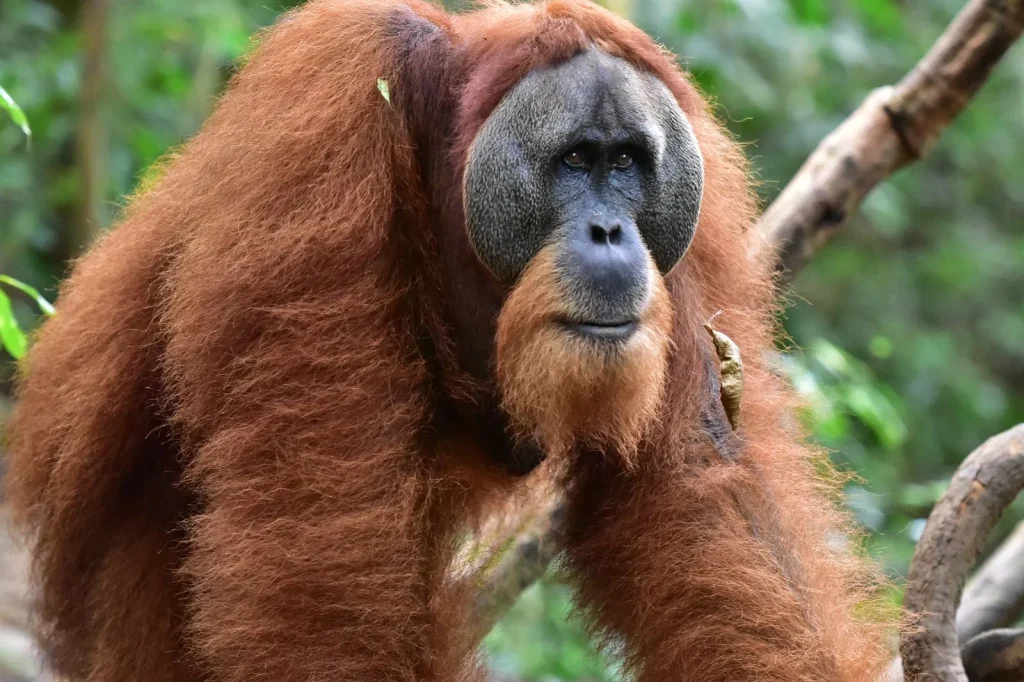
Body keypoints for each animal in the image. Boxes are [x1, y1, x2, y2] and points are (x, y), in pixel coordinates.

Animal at [4, 1, 893, 681]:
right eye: (576, 160)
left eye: (628, 164)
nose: (611, 233)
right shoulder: (325, 125)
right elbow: (313, 531)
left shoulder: (688, 229)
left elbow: (699, 475)